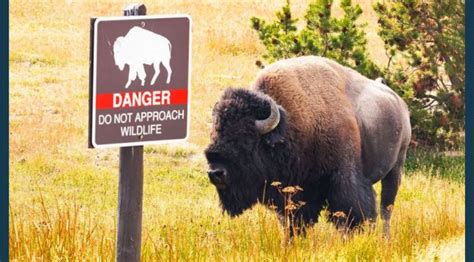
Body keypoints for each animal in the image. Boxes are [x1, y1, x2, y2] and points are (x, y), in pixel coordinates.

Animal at [204, 55, 412, 235]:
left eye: (246, 140)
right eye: (215, 134)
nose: (215, 173)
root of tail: (399, 104)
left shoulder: (343, 179)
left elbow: (351, 213)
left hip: (396, 168)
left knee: (386, 208)